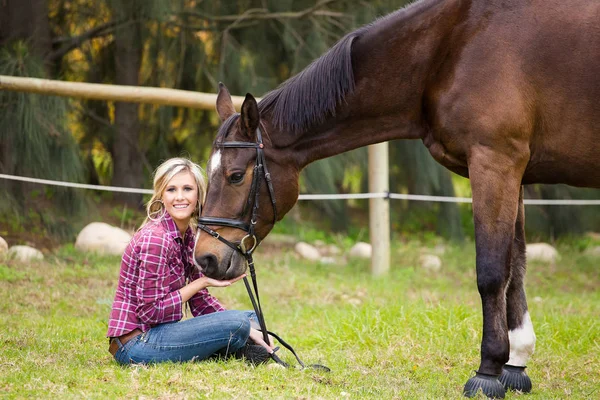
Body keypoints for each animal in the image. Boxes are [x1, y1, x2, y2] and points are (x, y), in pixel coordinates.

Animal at [195, 0, 596, 396]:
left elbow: (493, 271)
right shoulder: (514, 172)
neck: (455, 45)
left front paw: (488, 371)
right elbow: (517, 265)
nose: (205, 257)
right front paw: (515, 364)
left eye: (235, 175)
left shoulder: (495, 162)